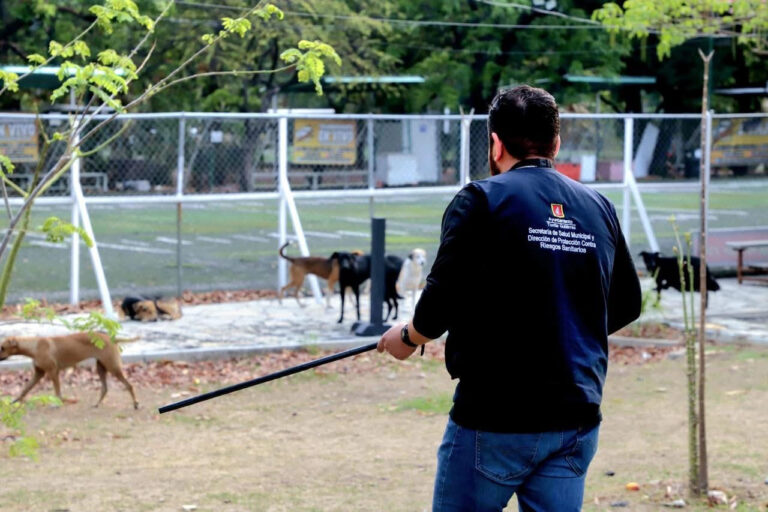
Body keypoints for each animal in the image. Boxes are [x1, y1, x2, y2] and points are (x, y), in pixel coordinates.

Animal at [0, 333, 139, 409]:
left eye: (2, 348)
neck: (35, 346)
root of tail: (112, 338)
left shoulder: (53, 372)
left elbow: (57, 393)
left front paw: (57, 404)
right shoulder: (38, 374)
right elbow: (25, 389)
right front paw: (14, 401)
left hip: (113, 368)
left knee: (130, 385)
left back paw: (136, 404)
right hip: (101, 368)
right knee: (105, 389)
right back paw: (96, 404)